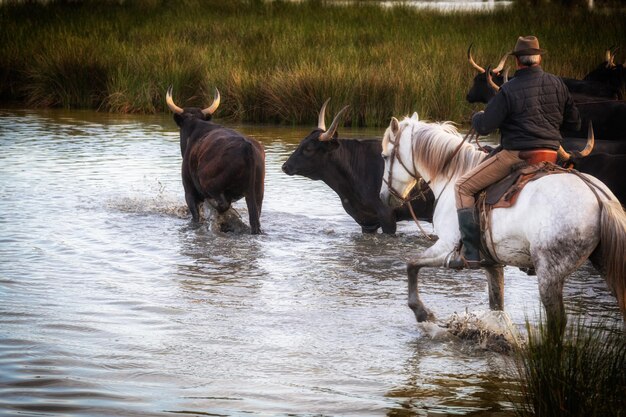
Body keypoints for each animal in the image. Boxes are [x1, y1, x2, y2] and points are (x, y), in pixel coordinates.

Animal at [166, 85, 264, 234]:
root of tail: (247, 148)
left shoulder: (189, 191)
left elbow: (196, 217)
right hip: (256, 193)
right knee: (255, 219)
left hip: (211, 184)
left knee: (223, 204)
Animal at [378, 114, 620, 334]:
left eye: (385, 156)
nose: (383, 197)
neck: (453, 174)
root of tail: (597, 195)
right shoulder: (492, 264)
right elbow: (497, 306)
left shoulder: (446, 248)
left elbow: (411, 264)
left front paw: (421, 312)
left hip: (549, 274)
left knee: (557, 321)